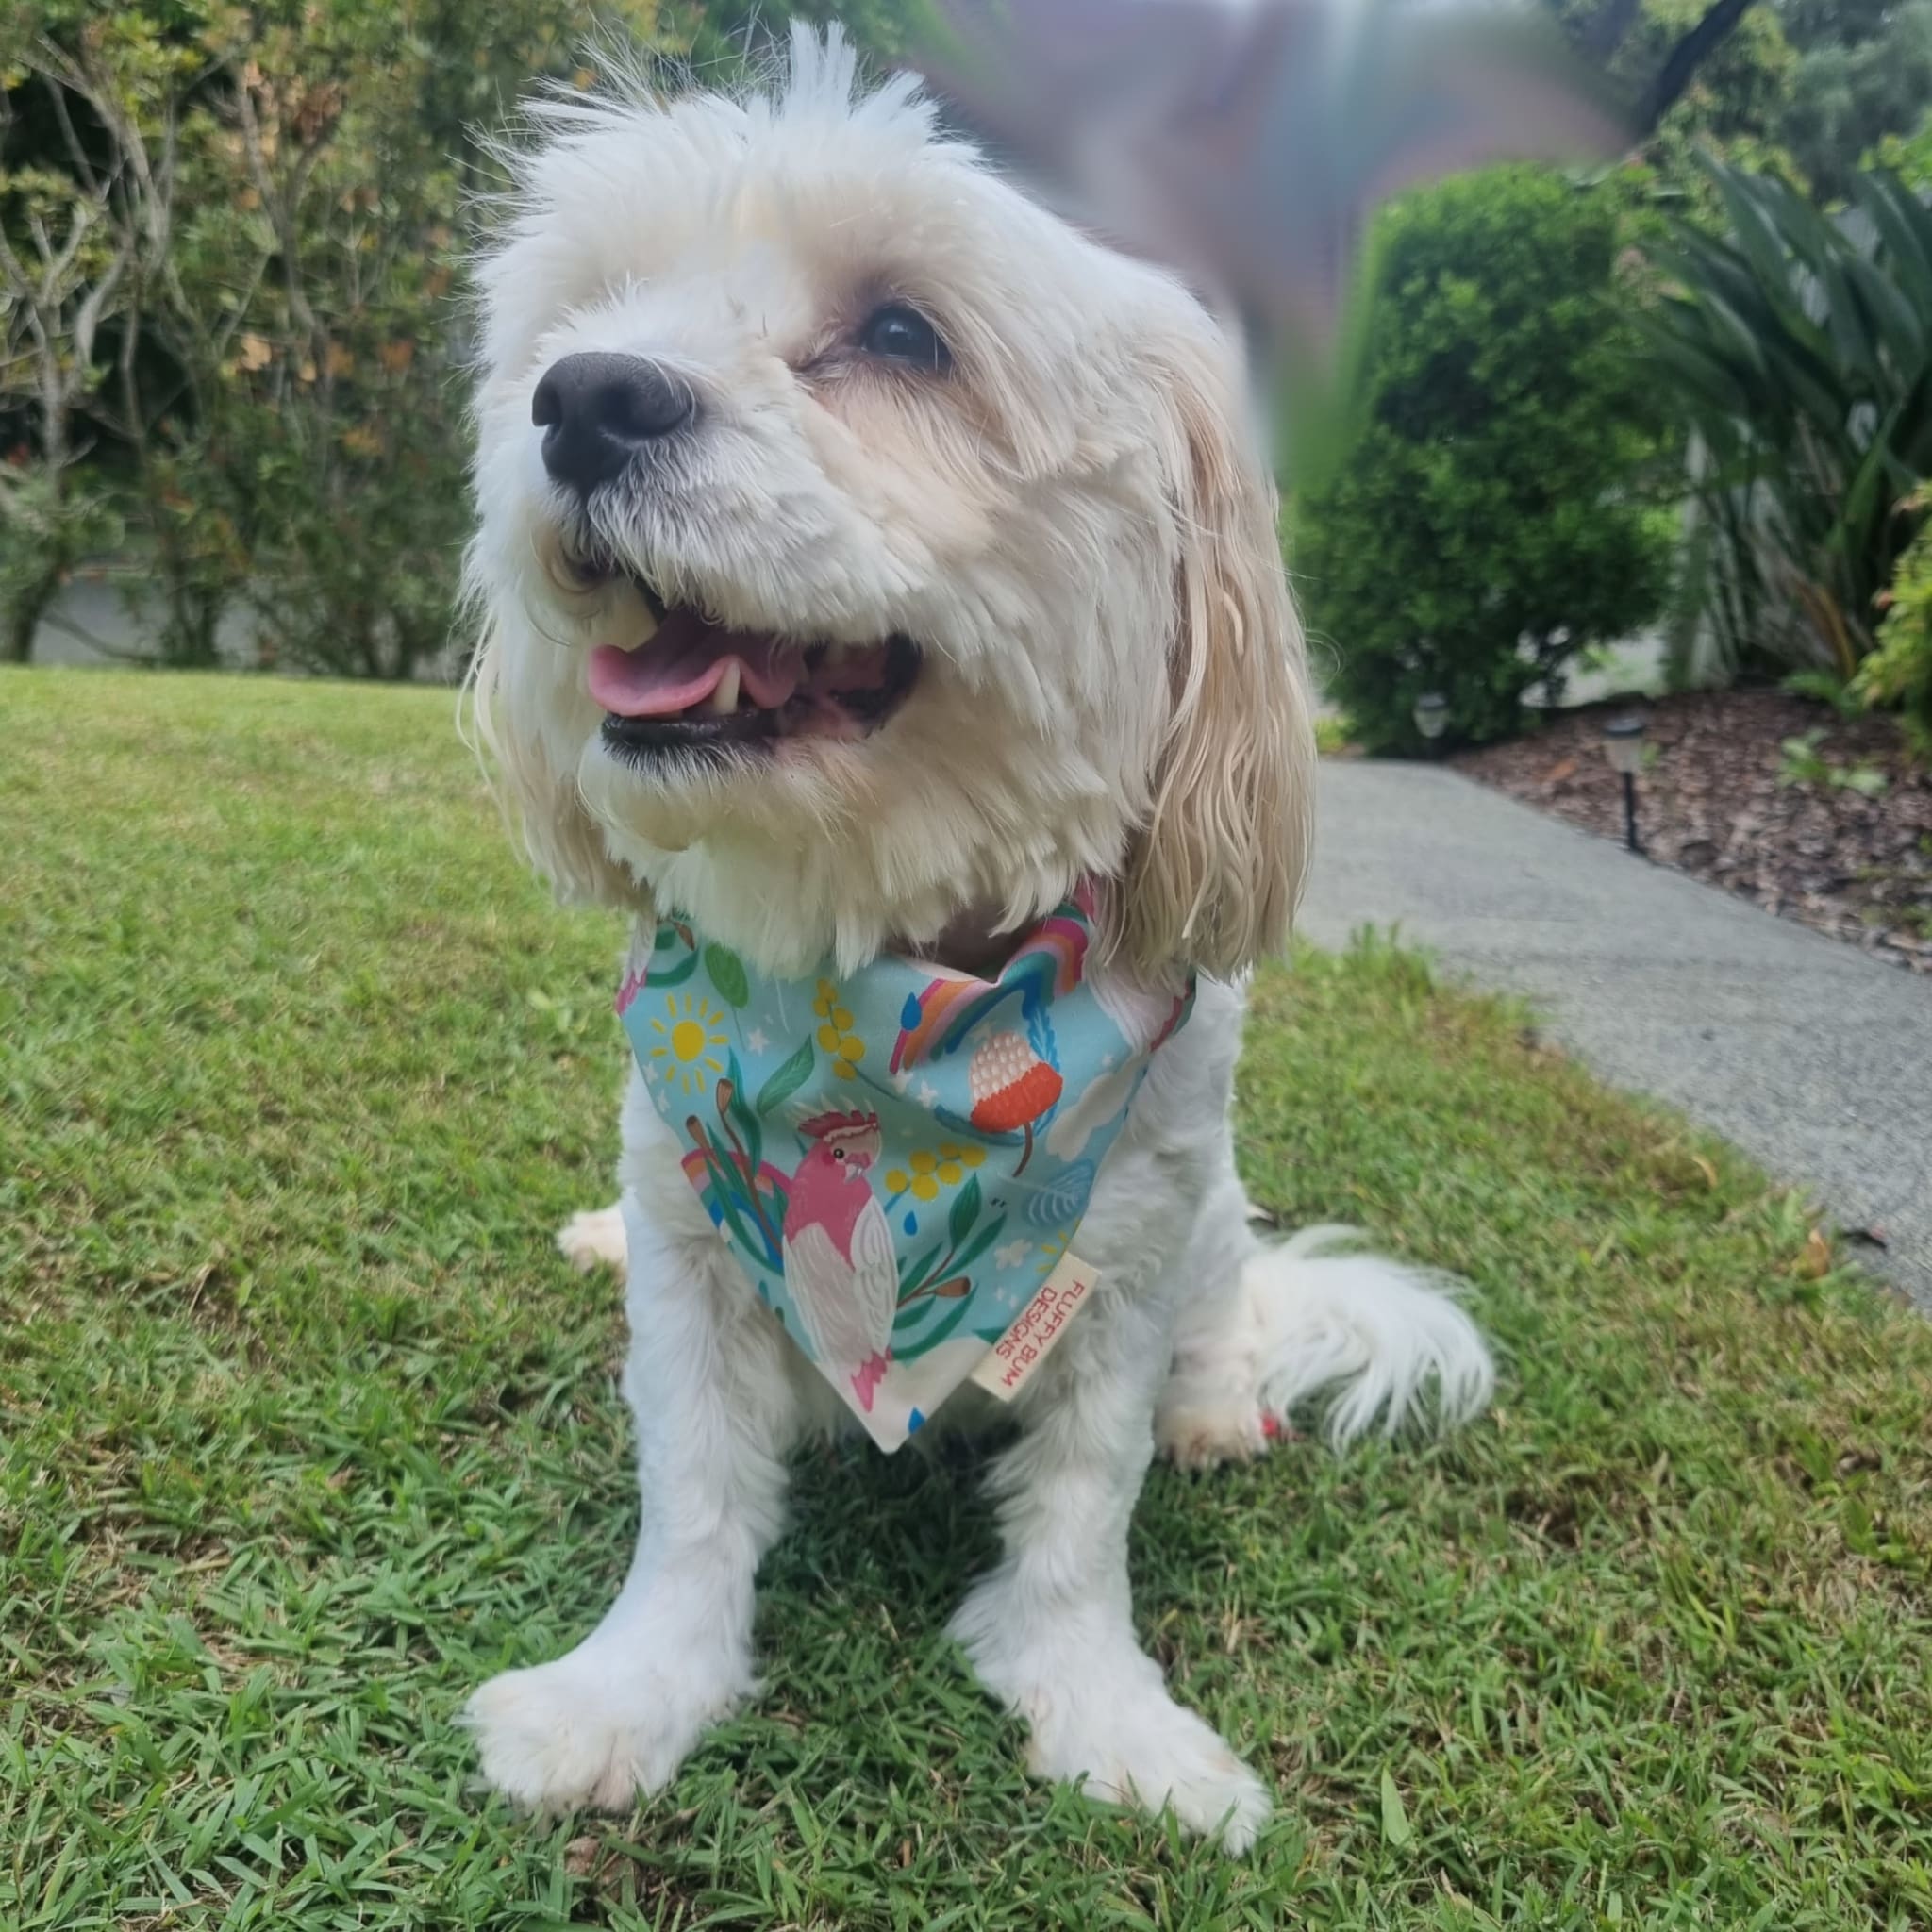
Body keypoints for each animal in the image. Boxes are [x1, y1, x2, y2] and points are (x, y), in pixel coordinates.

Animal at [459, 26, 1483, 1839]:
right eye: (598, 311)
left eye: (898, 337)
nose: (580, 399)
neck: (880, 989)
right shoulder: (695, 1235)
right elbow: (692, 1488)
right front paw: (627, 1691)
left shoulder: (1122, 1252)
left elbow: (1082, 1501)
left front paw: (1104, 1708)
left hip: (1216, 1223)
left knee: (1230, 1318)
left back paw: (1222, 1408)